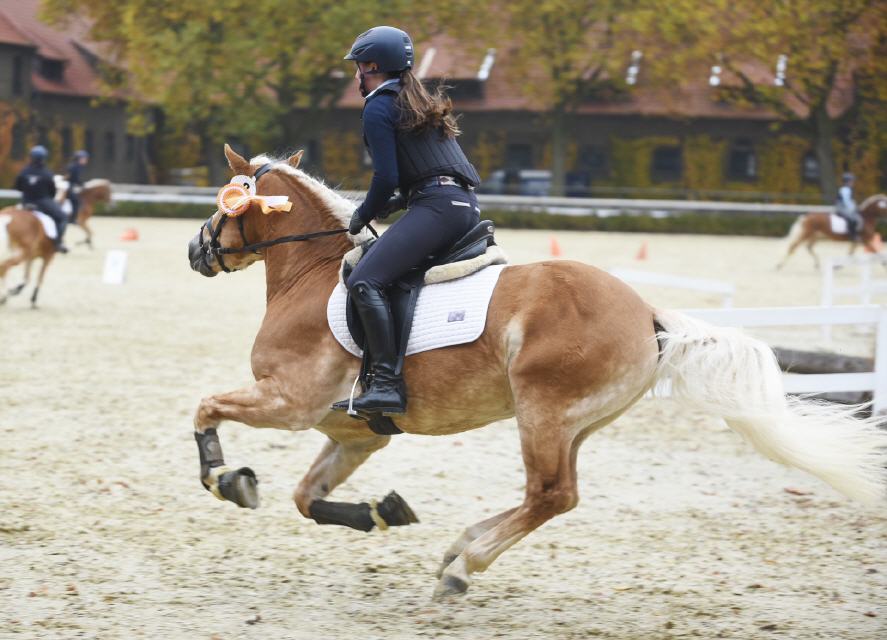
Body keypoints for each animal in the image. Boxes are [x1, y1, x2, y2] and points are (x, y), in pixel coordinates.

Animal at [186, 145, 887, 600]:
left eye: (227, 200)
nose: (197, 249)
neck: (309, 276)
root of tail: (648, 314)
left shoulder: (290, 402)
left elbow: (204, 408)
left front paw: (226, 478)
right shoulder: (356, 433)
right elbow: (308, 499)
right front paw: (380, 511)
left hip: (542, 412)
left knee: (551, 494)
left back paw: (463, 563)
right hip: (572, 422)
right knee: (555, 494)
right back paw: (460, 548)